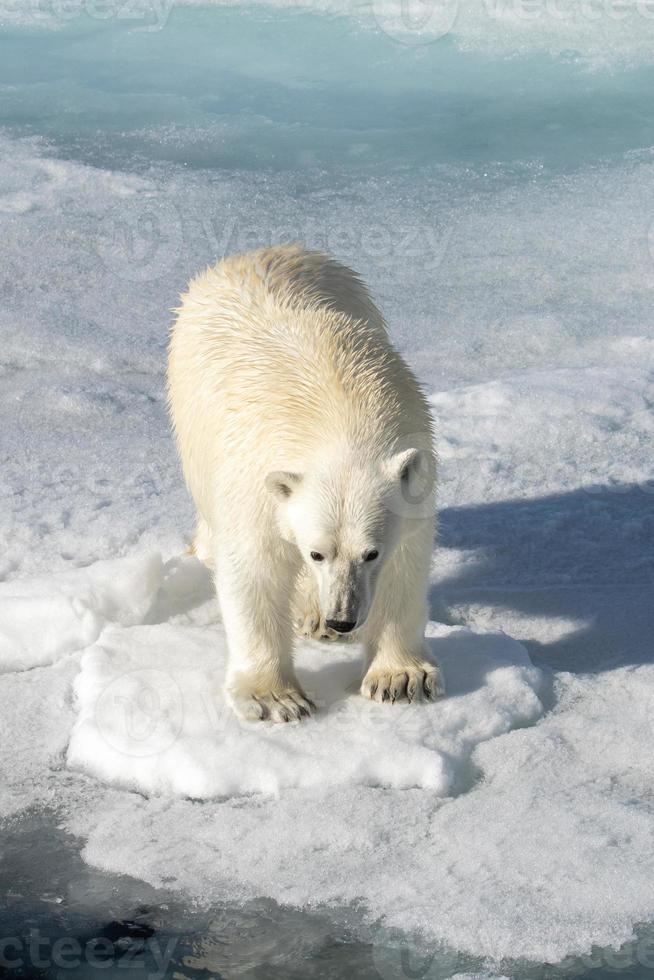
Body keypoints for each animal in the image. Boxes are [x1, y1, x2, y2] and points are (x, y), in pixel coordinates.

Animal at [168, 243, 446, 720]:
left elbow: (405, 565)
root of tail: (258, 251)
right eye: (317, 553)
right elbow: (254, 569)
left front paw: (400, 678)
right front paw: (276, 698)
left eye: (371, 553)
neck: (339, 413)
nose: (343, 619)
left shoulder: (413, 460)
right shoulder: (252, 481)